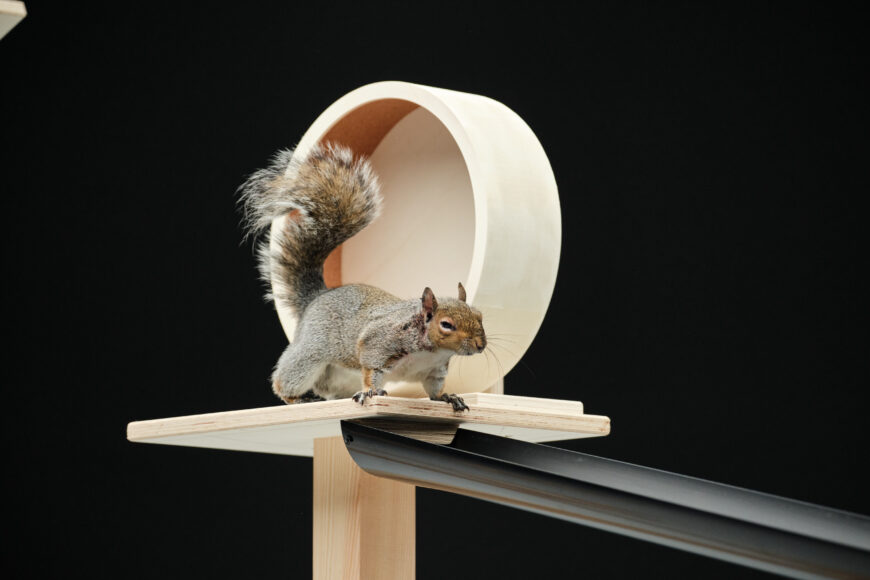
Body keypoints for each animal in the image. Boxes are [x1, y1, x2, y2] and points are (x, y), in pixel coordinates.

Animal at [238, 143, 487, 411]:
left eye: (480, 316)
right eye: (446, 325)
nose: (481, 345)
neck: (432, 351)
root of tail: (318, 296)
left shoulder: (434, 371)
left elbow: (434, 390)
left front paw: (448, 397)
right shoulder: (377, 343)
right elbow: (370, 370)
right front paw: (371, 392)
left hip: (339, 375)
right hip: (310, 354)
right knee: (286, 379)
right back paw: (296, 397)